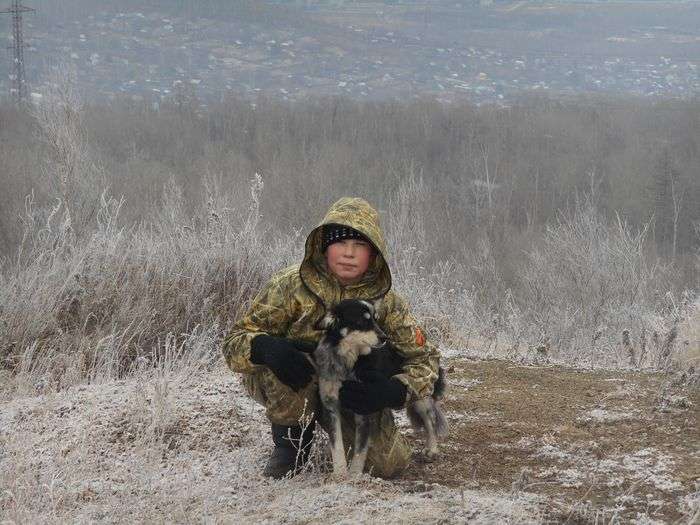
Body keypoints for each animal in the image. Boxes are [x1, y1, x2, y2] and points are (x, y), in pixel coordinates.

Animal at [314, 298, 448, 474]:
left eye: (375, 319)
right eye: (362, 321)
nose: (385, 337)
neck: (349, 361)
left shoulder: (363, 407)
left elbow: (359, 452)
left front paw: (354, 475)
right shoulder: (331, 406)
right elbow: (337, 446)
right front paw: (340, 474)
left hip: (419, 392)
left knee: (430, 420)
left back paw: (431, 449)